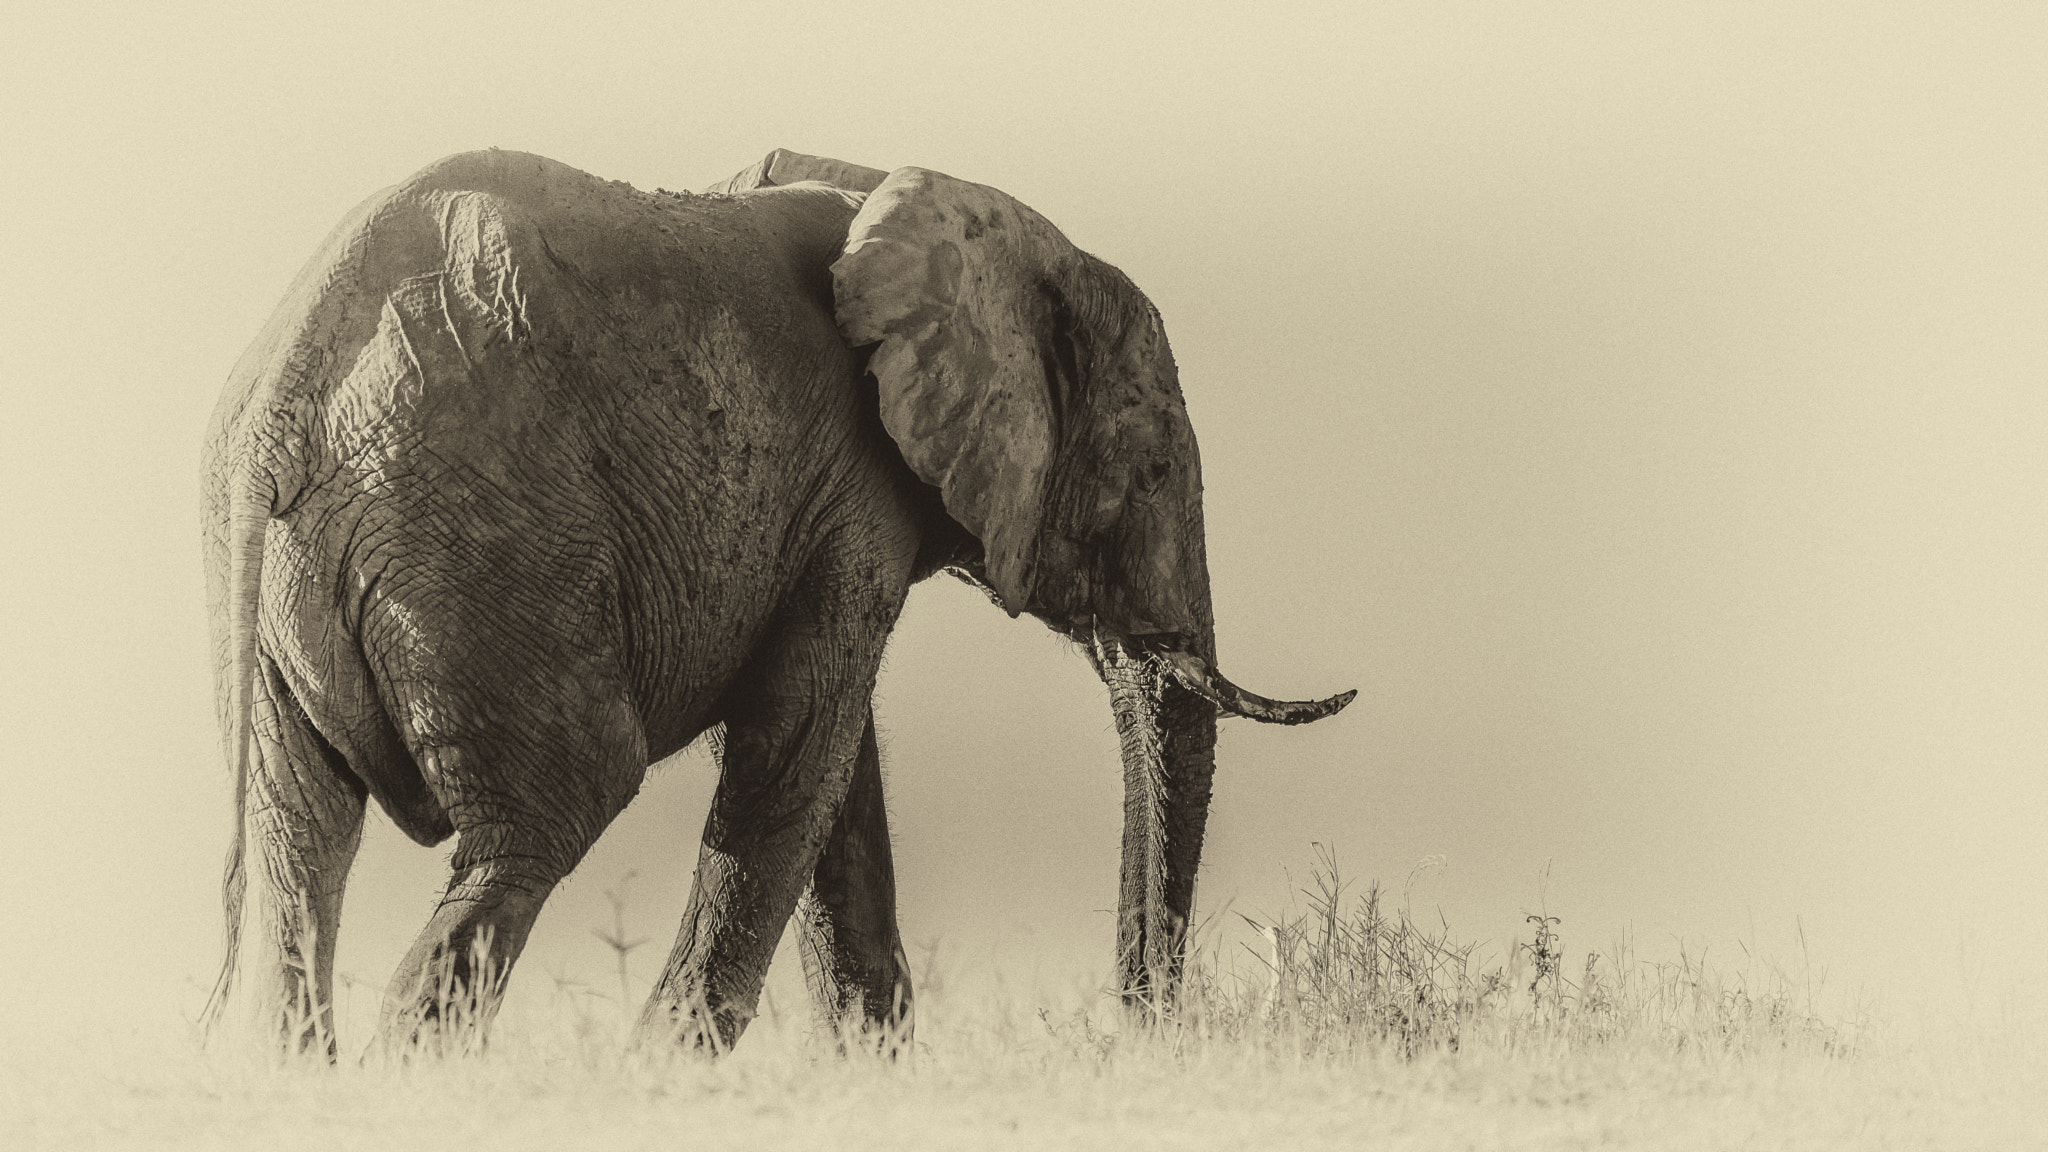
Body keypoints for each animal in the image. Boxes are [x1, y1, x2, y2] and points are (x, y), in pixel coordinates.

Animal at [201, 146, 1353, 1055]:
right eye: (1151, 470)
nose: (1141, 1031)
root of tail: (288, 395)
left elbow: (834, 769)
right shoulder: (855, 481)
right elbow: (801, 742)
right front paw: (668, 1082)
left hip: (282, 611)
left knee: (298, 850)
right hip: (484, 551)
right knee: (551, 815)